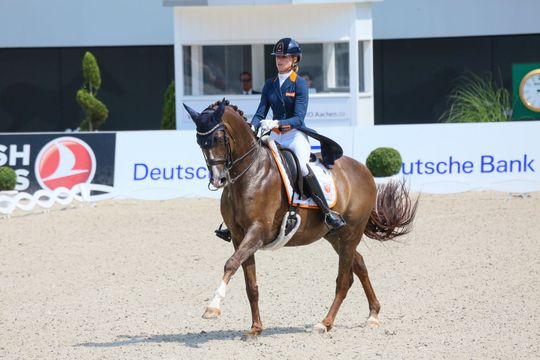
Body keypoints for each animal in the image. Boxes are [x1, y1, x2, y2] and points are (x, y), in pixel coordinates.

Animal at [185, 99, 418, 338]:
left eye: (218, 138)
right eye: (199, 141)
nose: (218, 179)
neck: (250, 174)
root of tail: (364, 170)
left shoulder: (257, 233)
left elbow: (230, 264)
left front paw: (212, 307)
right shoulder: (239, 236)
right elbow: (251, 284)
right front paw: (255, 328)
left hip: (351, 233)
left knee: (344, 280)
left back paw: (325, 323)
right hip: (334, 236)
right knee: (360, 265)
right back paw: (373, 315)